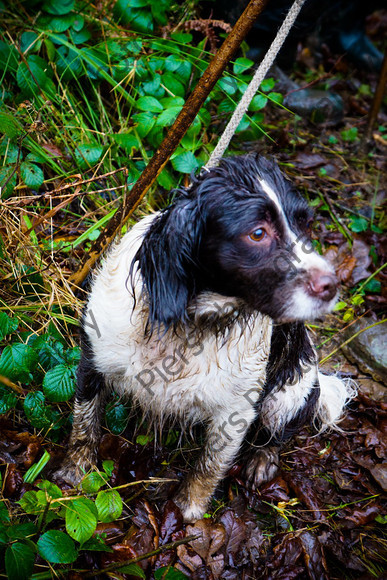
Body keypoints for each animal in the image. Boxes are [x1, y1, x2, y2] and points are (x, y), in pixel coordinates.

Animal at [58, 154, 354, 520]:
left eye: (305, 224)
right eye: (258, 233)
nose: (332, 286)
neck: (190, 322)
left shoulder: (237, 409)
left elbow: (209, 465)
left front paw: (188, 510)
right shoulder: (93, 359)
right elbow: (84, 424)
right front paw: (75, 471)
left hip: (286, 394)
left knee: (277, 433)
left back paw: (261, 462)